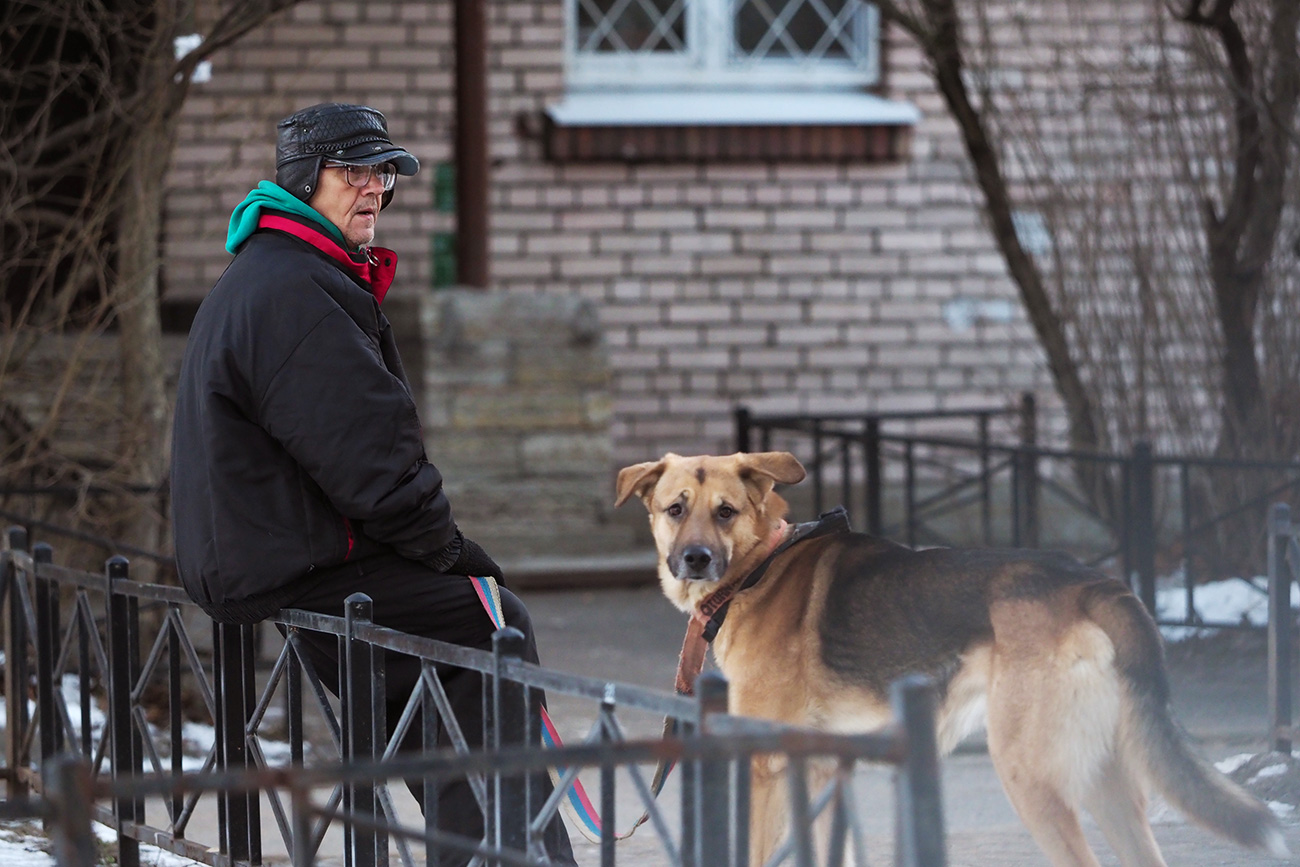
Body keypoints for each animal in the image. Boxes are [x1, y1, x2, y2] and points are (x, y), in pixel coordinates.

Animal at [613, 452, 1284, 867]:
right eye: (676, 509)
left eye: (724, 511)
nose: (695, 559)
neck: (759, 568)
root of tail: (1093, 584)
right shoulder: (825, 774)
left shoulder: (767, 771)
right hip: (1105, 783)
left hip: (1031, 776)